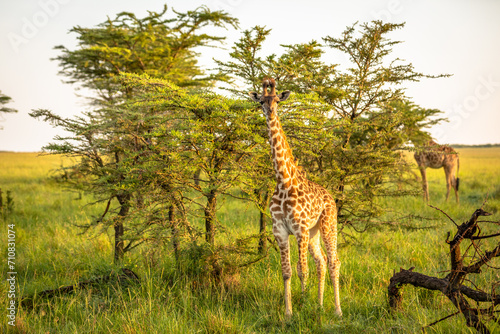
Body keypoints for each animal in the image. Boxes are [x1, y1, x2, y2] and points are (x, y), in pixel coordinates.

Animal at [248, 79, 342, 318]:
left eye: (277, 100)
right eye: (261, 101)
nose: (270, 111)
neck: (284, 181)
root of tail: (331, 197)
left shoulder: (299, 230)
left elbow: (302, 270)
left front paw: (303, 304)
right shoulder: (280, 231)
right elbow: (287, 271)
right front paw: (289, 312)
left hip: (328, 225)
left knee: (333, 261)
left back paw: (337, 311)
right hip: (314, 232)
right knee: (321, 261)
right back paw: (320, 305)